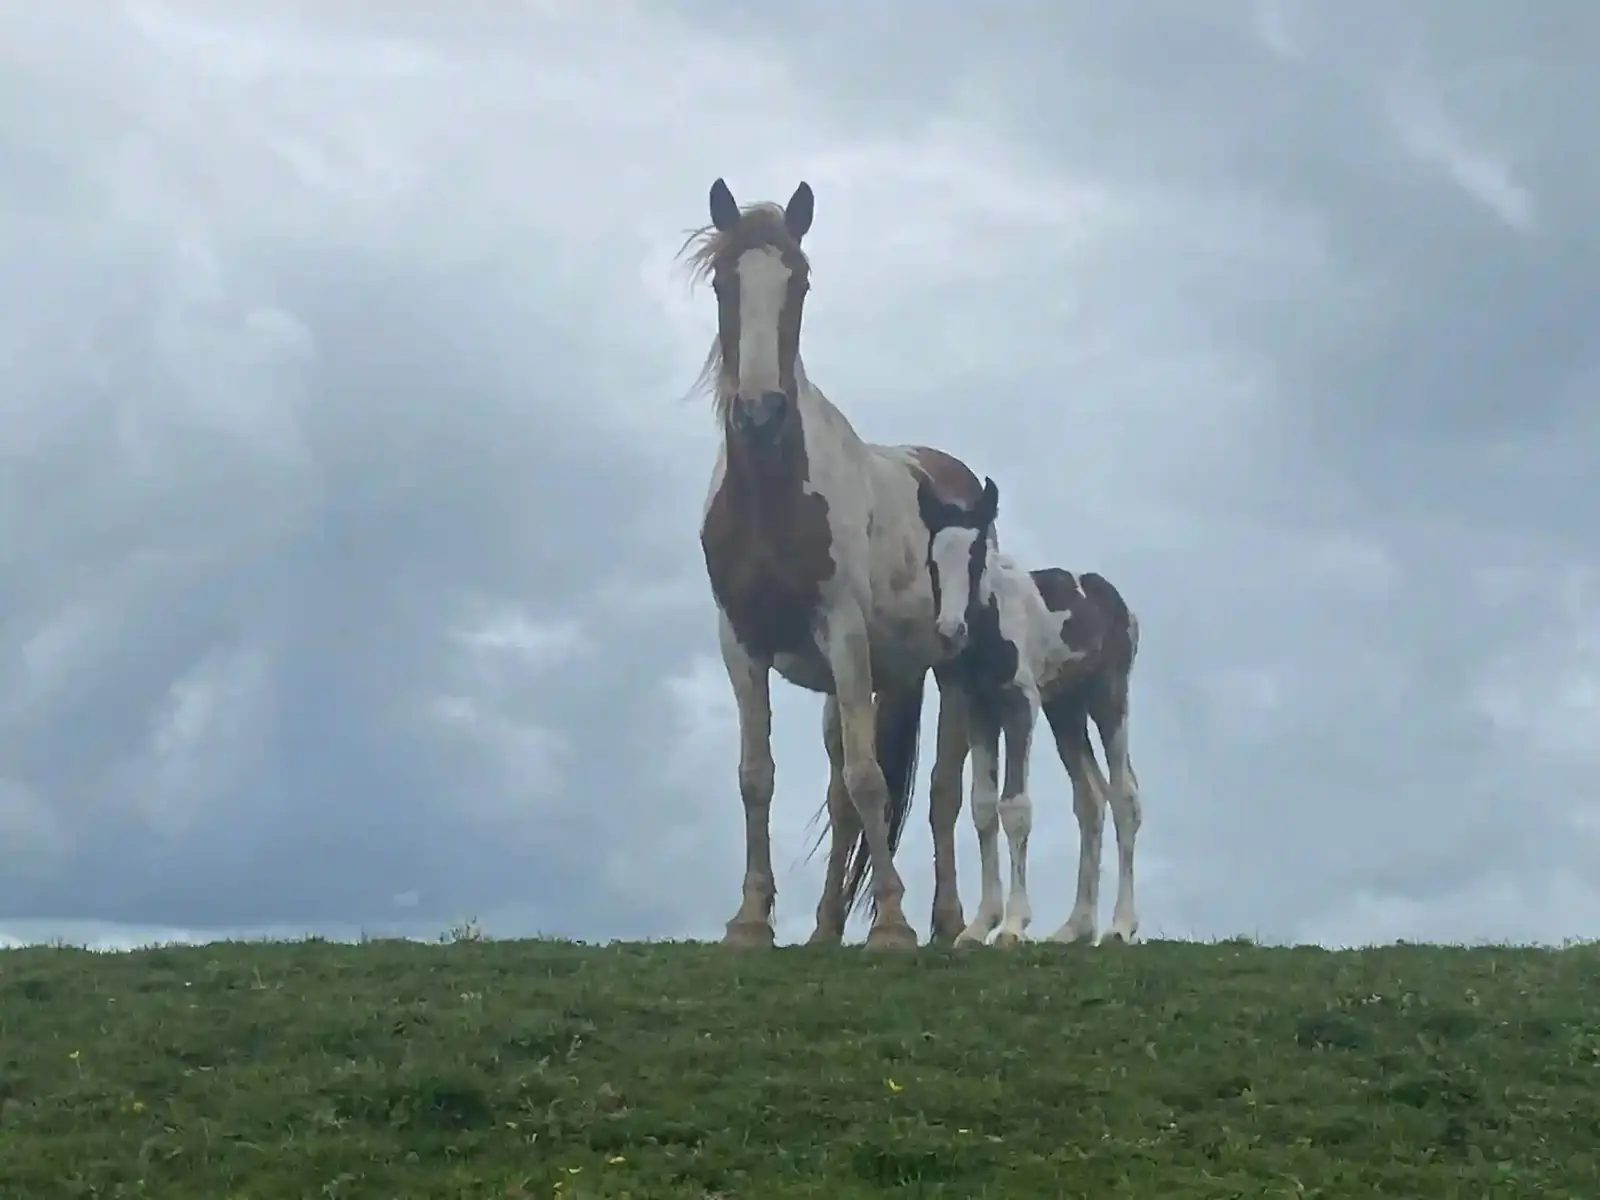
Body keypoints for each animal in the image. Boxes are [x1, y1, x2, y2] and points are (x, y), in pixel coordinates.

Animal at [686, 177, 985, 951]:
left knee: (941, 792)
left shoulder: (844, 632)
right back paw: (823, 929)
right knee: (843, 793)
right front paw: (750, 919)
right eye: (724, 282)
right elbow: (757, 775)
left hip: (944, 673)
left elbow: (871, 778)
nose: (760, 411)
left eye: (800, 281)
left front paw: (892, 924)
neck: (771, 497)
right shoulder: (740, 643)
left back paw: (946, 921)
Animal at [916, 476, 1144, 947]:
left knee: (1124, 796)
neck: (988, 629)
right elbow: (984, 807)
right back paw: (1076, 926)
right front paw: (979, 925)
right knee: (1090, 799)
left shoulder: (1021, 705)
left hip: (1108, 696)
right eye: (932, 559)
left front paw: (1013, 924)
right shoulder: (980, 710)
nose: (950, 631)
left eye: (976, 557)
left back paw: (1120, 925)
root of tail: (1116, 601)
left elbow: (1015, 807)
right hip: (1065, 709)